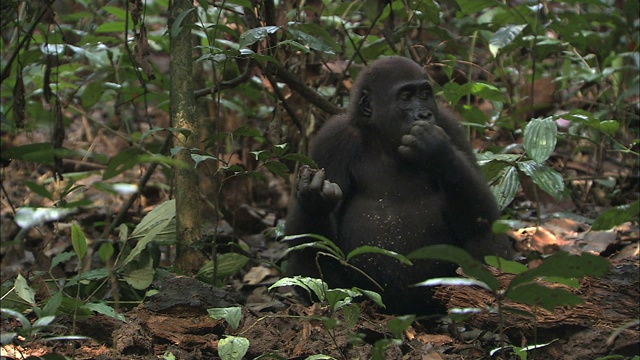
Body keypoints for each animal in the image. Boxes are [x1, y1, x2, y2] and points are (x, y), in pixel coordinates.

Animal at [282, 55, 512, 312]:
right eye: (406, 97)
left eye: (425, 94)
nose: (424, 115)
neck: (383, 140)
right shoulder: (331, 140)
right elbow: (302, 236)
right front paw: (315, 199)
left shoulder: (450, 126)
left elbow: (484, 213)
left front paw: (437, 150)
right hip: (361, 295)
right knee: (310, 253)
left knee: (482, 234)